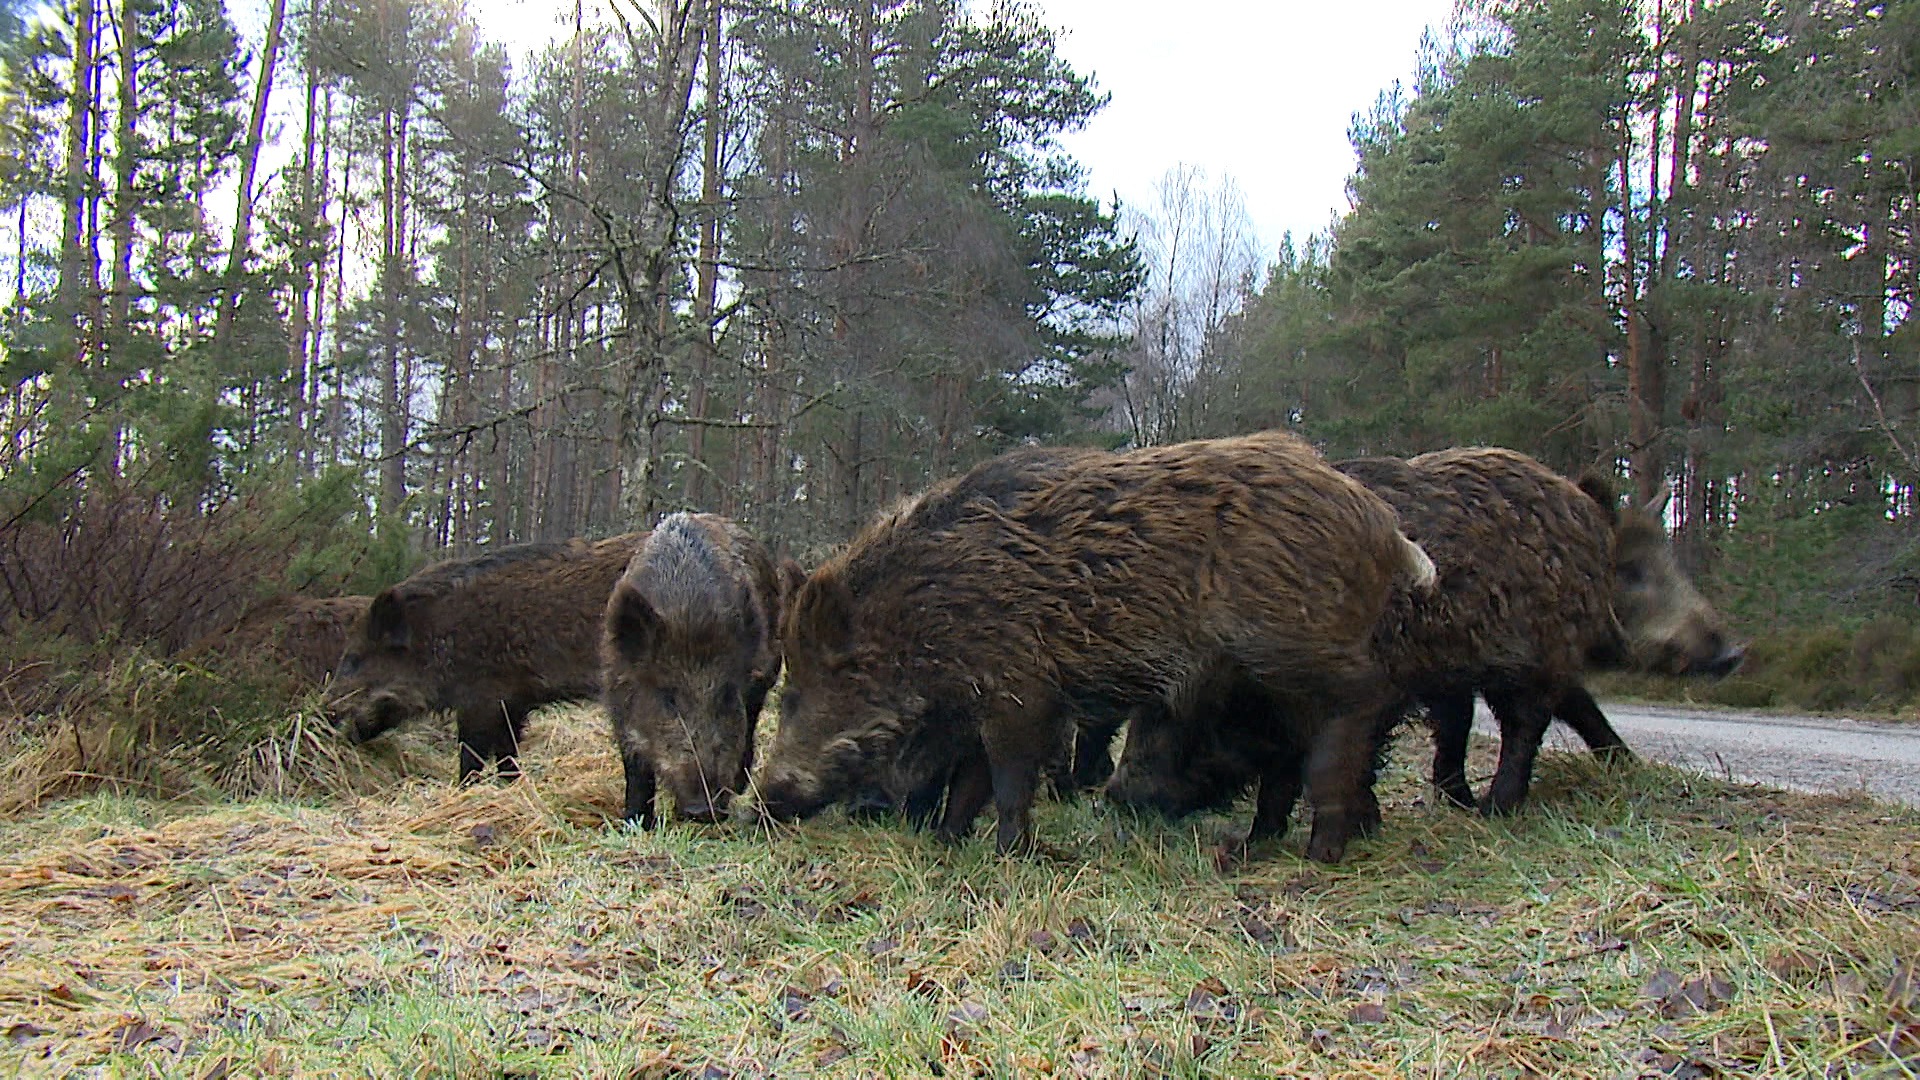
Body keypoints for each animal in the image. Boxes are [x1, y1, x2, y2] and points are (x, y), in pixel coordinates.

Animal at [337, 534, 645, 776]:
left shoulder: (481, 697)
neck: (438, 637)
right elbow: (507, 752)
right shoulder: (513, 700)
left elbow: (471, 753)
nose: (329, 716)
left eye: (353, 658)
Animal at [599, 511, 779, 822]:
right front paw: (635, 822)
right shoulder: (618, 701)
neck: (687, 615)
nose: (703, 809)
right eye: (669, 698)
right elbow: (636, 770)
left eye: (726, 696)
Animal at [756, 428, 1436, 857]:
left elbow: (1006, 775)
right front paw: (951, 841)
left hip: (1293, 645)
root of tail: (1385, 527)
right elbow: (971, 779)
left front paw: (1016, 853)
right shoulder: (984, 693)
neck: (923, 616)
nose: (759, 803)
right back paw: (1259, 843)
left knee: (1365, 701)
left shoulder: (1020, 688)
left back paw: (1321, 851)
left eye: (802, 692)